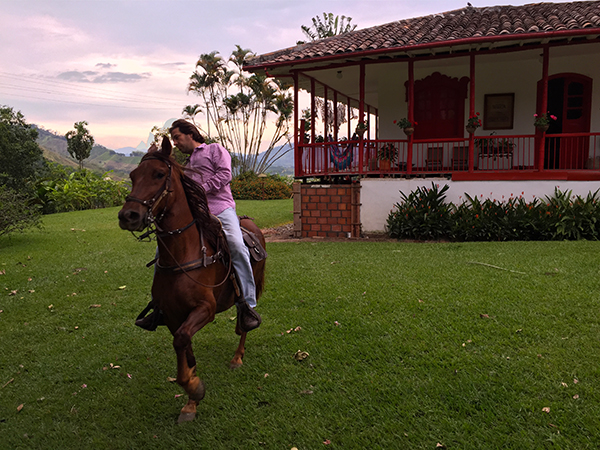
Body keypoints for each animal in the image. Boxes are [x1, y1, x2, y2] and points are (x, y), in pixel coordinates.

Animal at [117, 137, 264, 422]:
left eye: (158, 174)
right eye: (132, 176)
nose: (128, 216)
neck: (184, 253)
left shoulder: (205, 309)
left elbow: (182, 341)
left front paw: (194, 388)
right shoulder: (173, 315)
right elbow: (186, 348)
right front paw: (191, 401)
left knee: (246, 316)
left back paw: (238, 357)